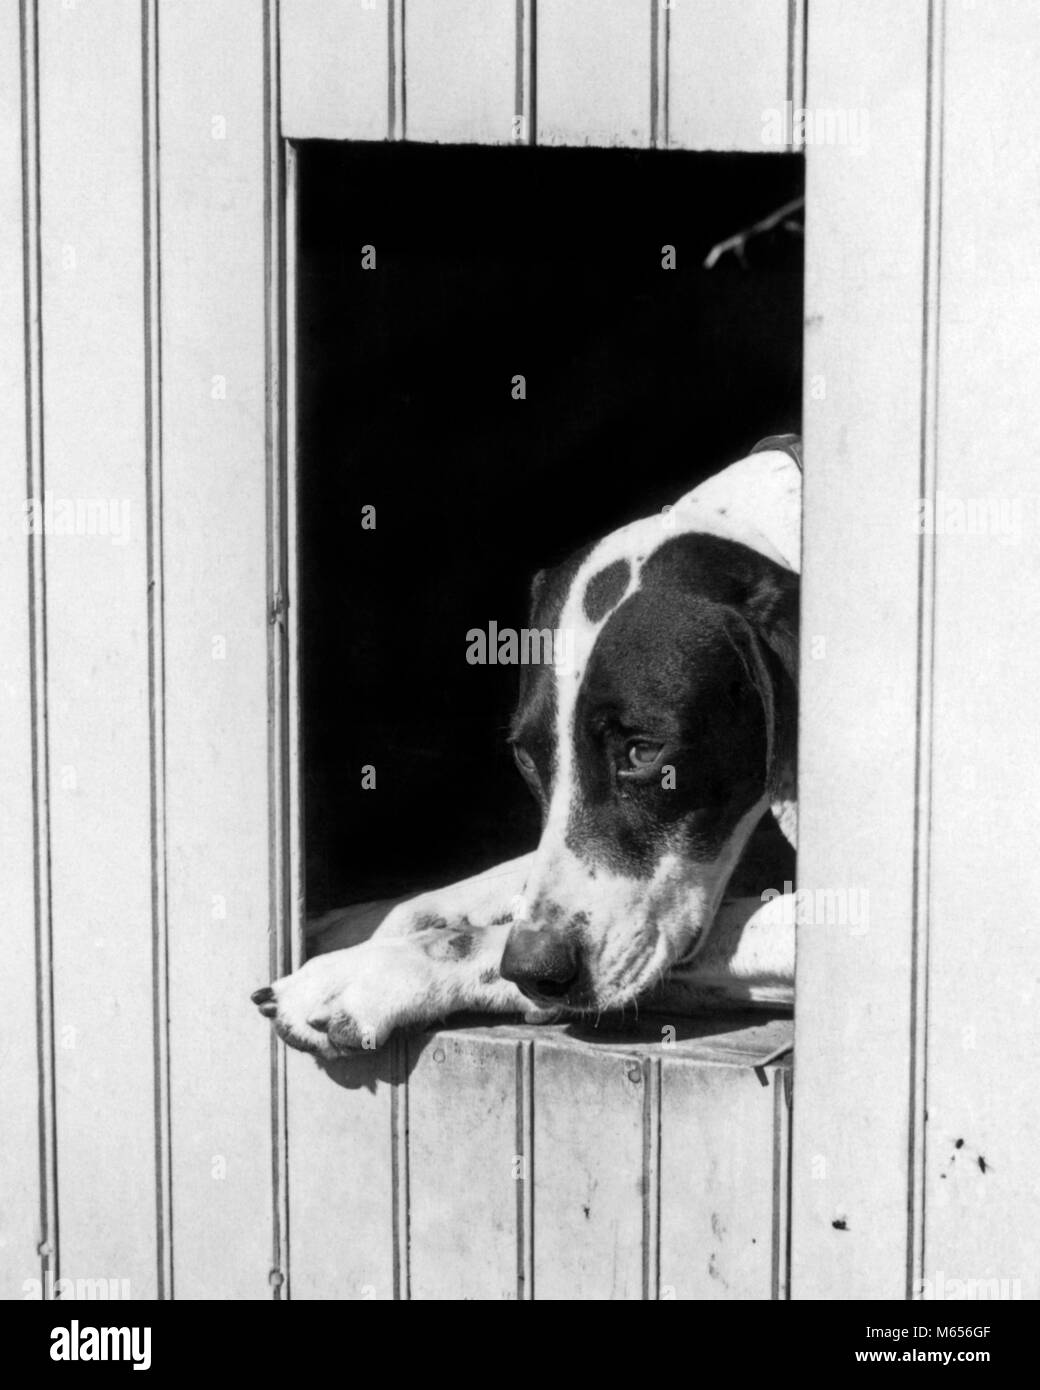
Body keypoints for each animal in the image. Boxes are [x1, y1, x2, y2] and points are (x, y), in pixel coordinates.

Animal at [254, 439, 806, 1056]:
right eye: (527, 758)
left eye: (644, 751)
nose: (538, 969)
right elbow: (498, 879)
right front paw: (361, 921)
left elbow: (485, 941)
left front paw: (370, 973)